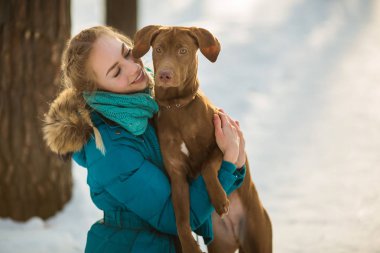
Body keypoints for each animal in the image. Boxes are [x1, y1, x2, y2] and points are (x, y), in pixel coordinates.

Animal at [132, 24, 272, 252]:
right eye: (159, 49)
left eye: (183, 51)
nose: (164, 75)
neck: (177, 107)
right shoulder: (177, 176)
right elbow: (180, 219)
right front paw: (189, 245)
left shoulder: (221, 145)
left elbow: (207, 167)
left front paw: (220, 200)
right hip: (219, 243)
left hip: (257, 235)